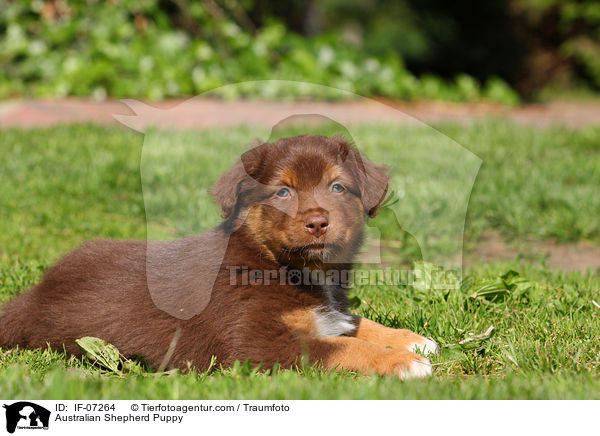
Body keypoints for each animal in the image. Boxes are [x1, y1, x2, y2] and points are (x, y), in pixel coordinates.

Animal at [2, 135, 438, 378]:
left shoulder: (329, 313)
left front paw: (411, 340)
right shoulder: (257, 346)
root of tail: (33, 295)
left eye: (338, 187)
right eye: (283, 192)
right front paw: (401, 362)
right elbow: (339, 346)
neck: (278, 264)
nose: (317, 222)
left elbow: (356, 324)